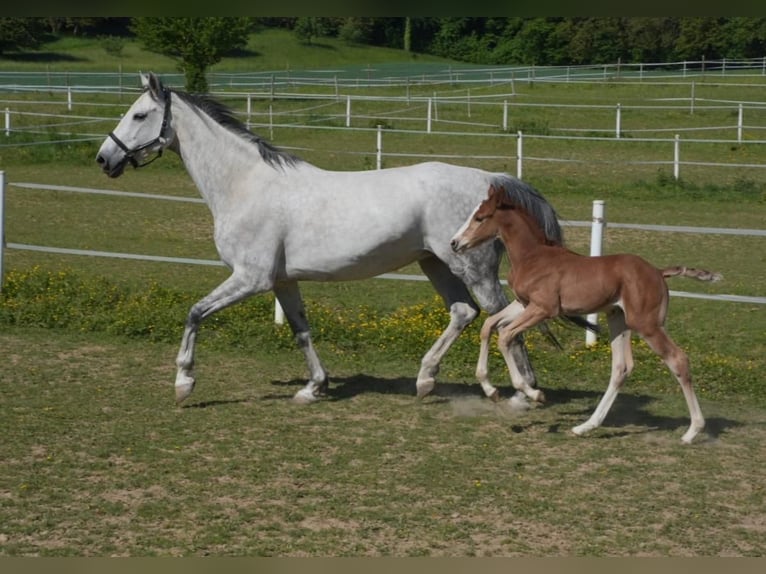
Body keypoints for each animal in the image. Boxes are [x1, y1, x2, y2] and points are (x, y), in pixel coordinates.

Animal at [95, 72, 563, 405]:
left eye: (139, 116)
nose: (104, 158)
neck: (245, 185)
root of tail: (492, 183)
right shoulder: (283, 281)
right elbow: (301, 330)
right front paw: (313, 387)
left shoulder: (250, 278)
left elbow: (194, 314)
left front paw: (184, 382)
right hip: (436, 262)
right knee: (465, 313)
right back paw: (426, 380)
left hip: (475, 269)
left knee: (505, 320)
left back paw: (525, 391)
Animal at [450, 183, 722, 443]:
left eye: (480, 218)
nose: (454, 243)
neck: (533, 255)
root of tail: (657, 271)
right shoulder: (524, 304)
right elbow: (489, 326)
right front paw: (491, 390)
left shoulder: (544, 309)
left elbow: (505, 336)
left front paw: (534, 393)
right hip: (618, 319)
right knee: (621, 368)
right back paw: (586, 426)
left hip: (647, 324)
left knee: (678, 359)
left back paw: (692, 432)